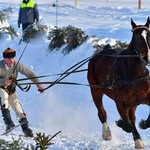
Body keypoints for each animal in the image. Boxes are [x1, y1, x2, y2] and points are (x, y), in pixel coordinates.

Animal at [87, 16, 150, 149]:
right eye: (137, 36)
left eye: (149, 34)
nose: (147, 57)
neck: (134, 74)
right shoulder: (120, 102)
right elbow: (127, 125)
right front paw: (121, 122)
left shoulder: (144, 97)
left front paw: (143, 124)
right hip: (95, 90)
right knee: (102, 113)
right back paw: (107, 133)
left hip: (132, 102)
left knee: (131, 117)